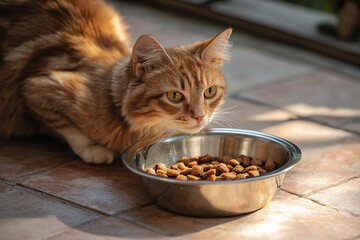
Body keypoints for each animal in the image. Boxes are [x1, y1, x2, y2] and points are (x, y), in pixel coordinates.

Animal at [0, 0, 231, 164]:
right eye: (174, 96)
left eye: (210, 92)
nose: (200, 117)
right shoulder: (37, 87)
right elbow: (71, 130)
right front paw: (93, 150)